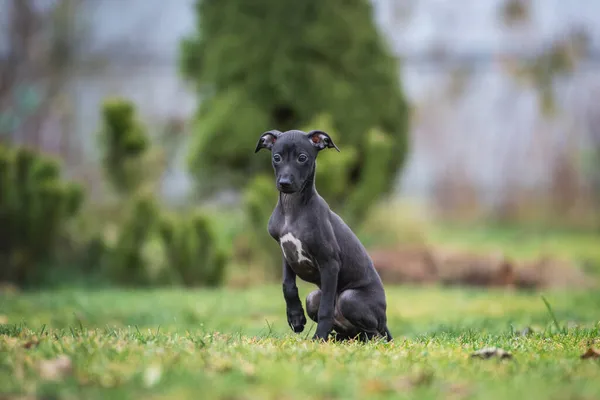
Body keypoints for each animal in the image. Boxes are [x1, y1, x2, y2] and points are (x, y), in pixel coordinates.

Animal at [254, 130, 392, 342]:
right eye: (276, 158)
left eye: (302, 158)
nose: (284, 183)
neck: (292, 209)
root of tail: (385, 321)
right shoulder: (286, 254)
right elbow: (288, 286)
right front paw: (296, 318)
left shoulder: (330, 263)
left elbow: (326, 309)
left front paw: (319, 338)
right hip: (313, 298)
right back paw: (340, 338)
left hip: (350, 299)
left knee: (375, 334)